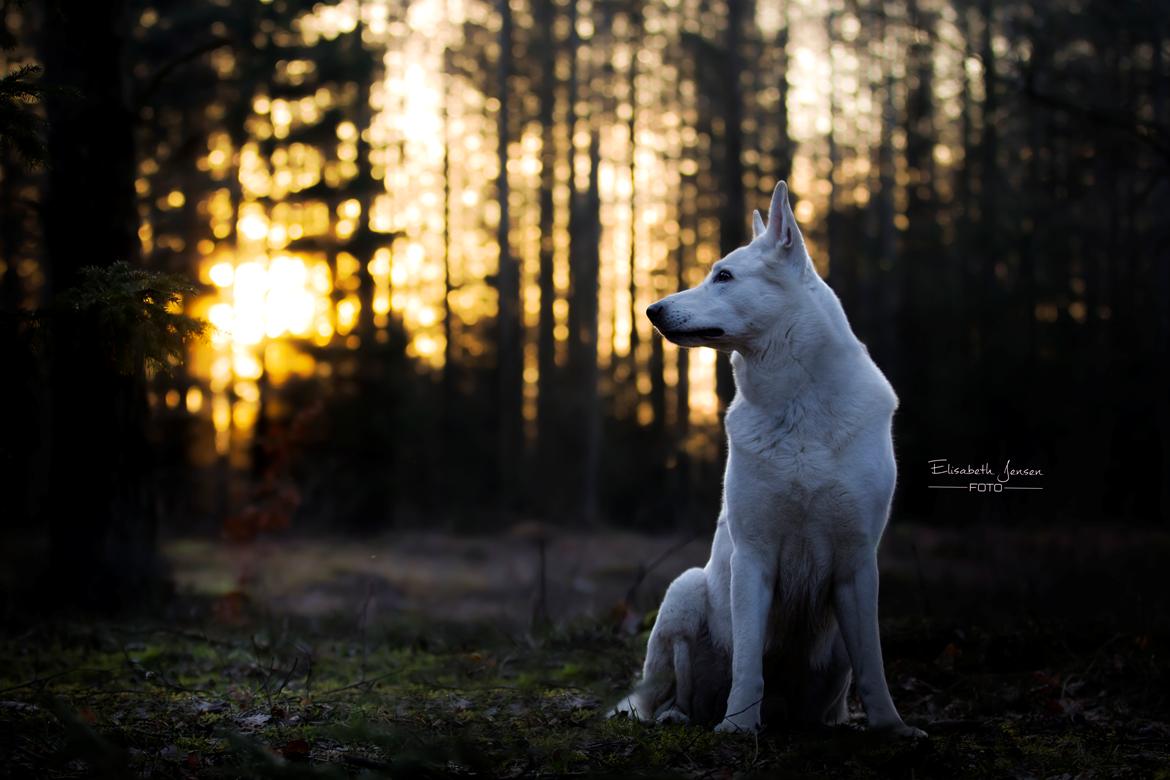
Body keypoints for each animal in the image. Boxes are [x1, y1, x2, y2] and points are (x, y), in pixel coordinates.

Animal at [608, 178, 926, 739]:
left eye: (724, 276)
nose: (652, 311)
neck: (796, 403)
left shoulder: (857, 564)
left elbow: (873, 664)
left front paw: (890, 726)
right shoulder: (753, 557)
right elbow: (748, 664)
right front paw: (738, 726)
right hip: (686, 589)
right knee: (672, 693)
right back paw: (677, 714)